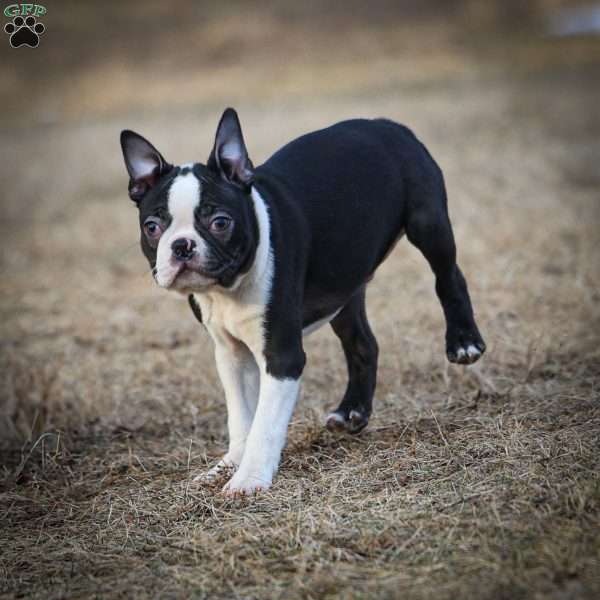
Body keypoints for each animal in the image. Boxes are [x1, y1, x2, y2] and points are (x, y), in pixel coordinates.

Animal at [119, 110, 486, 494]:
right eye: (152, 227)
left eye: (220, 222)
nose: (182, 246)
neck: (228, 289)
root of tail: (385, 123)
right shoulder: (231, 355)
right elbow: (241, 417)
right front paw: (228, 464)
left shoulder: (282, 357)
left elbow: (265, 423)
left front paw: (248, 479)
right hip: (343, 287)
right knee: (363, 344)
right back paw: (352, 411)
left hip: (427, 223)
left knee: (449, 277)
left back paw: (463, 341)